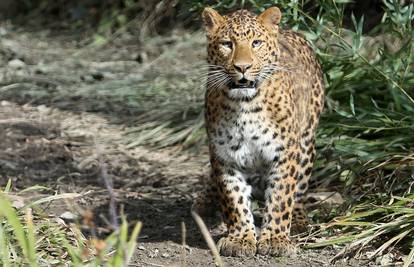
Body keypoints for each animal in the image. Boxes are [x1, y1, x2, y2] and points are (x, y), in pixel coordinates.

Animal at [192, 6, 326, 258]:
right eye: (227, 44)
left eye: (256, 43)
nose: (242, 67)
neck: (245, 106)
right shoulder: (225, 157)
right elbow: (233, 199)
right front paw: (240, 238)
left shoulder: (284, 154)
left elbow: (281, 196)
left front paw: (275, 239)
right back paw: (204, 202)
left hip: (306, 144)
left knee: (299, 189)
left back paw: (299, 219)